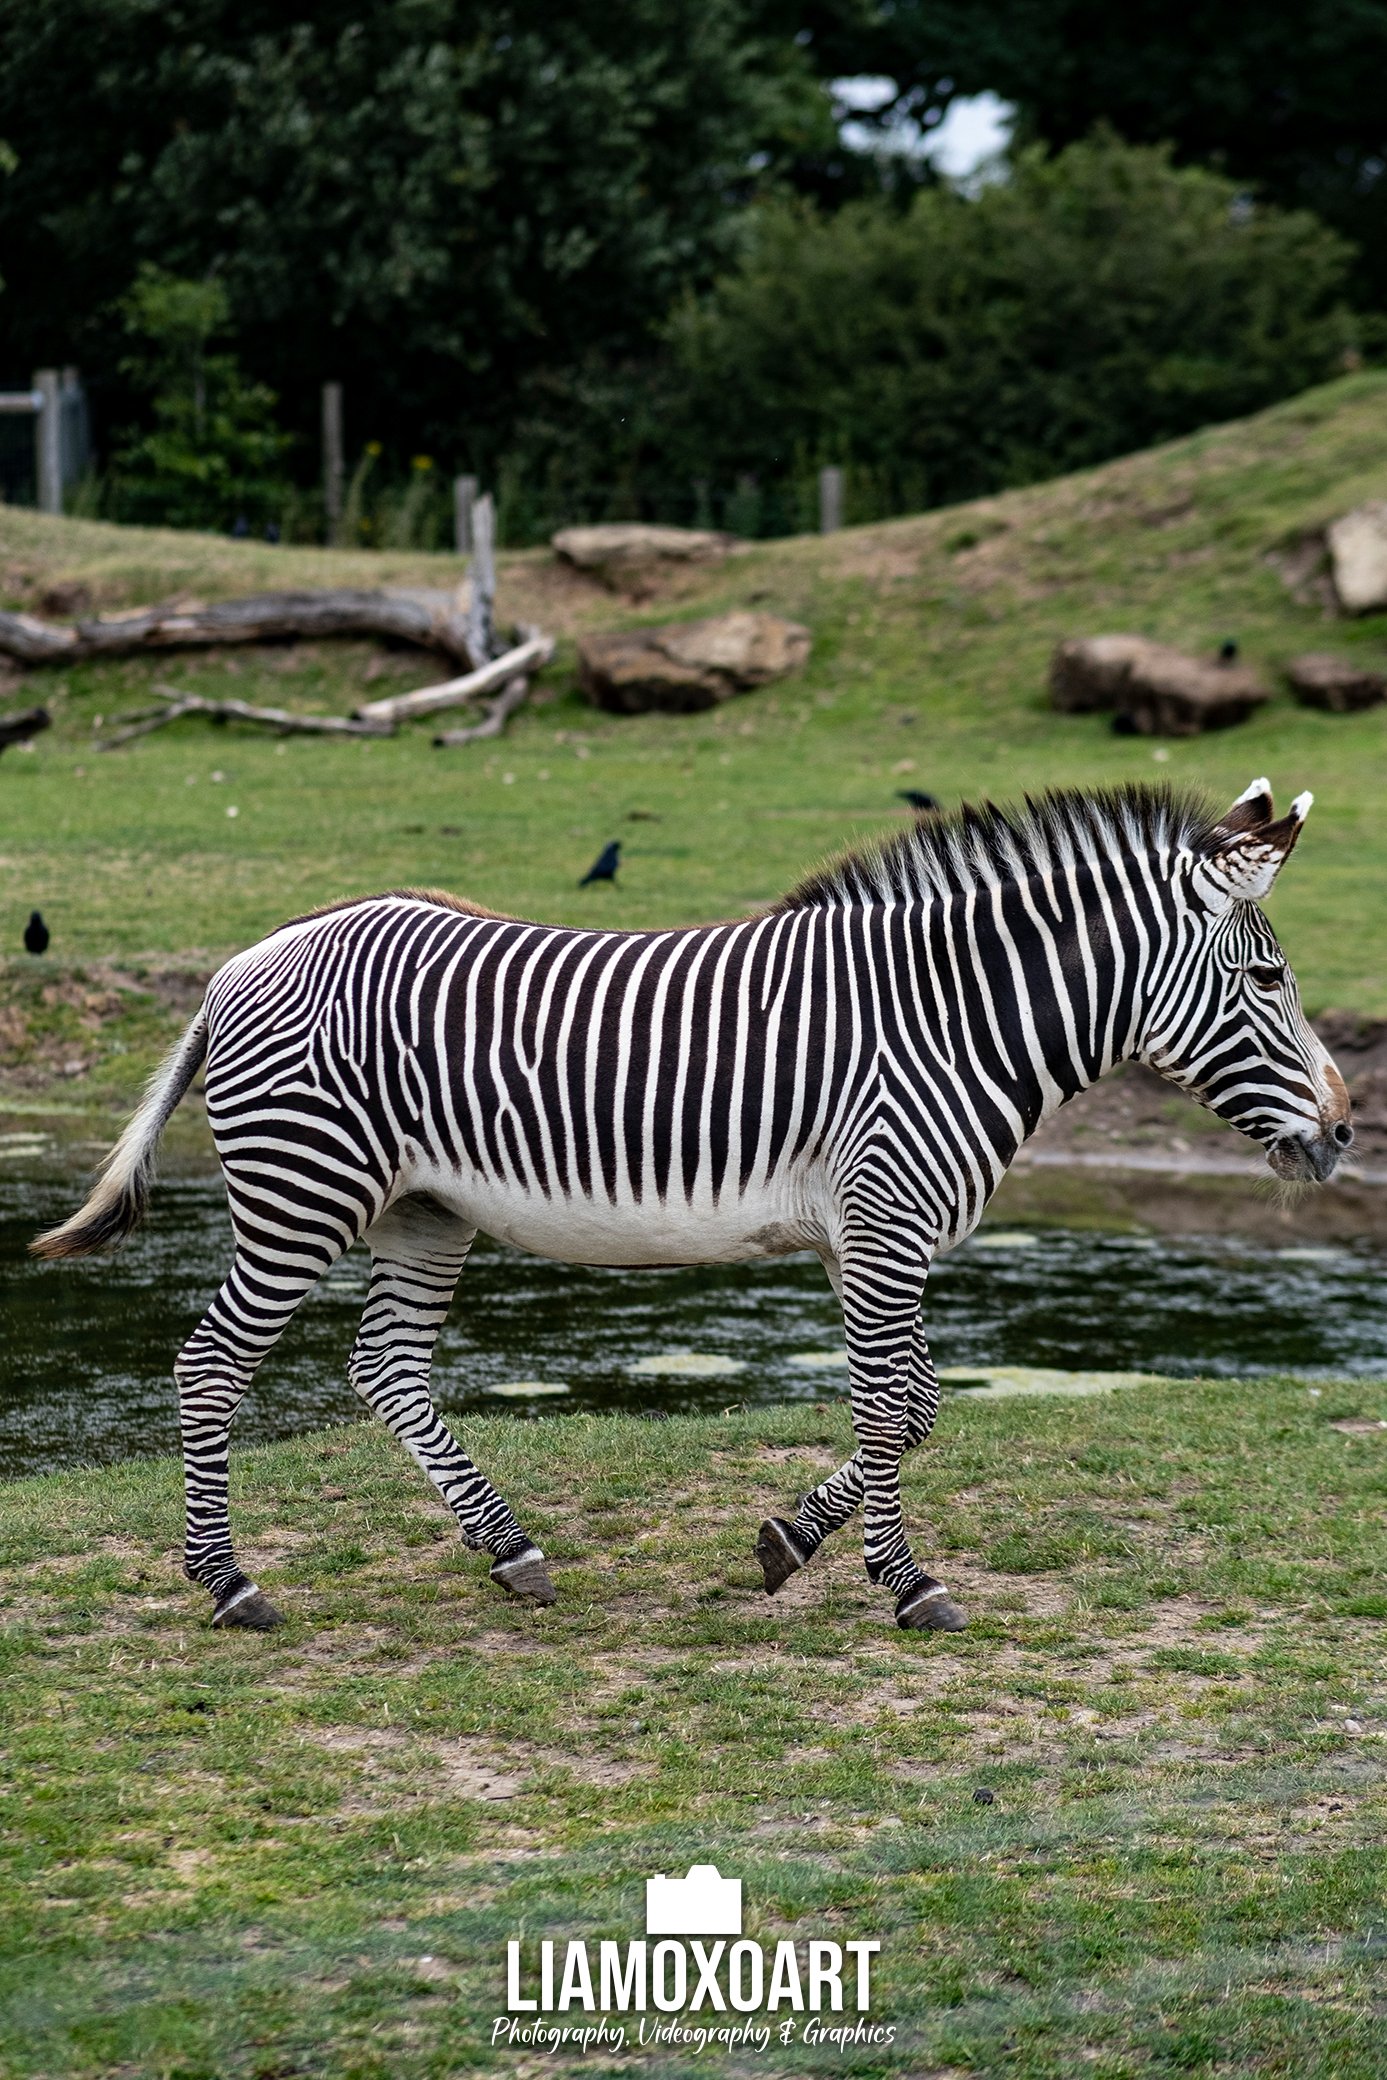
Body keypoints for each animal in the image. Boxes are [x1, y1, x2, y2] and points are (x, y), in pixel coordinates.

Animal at [33, 778, 1351, 1635]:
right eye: (1266, 976)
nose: (1346, 1133)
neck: (957, 1021)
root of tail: (247, 956)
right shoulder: (884, 1219)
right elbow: (892, 1407)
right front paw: (907, 1584)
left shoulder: (867, 1235)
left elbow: (915, 1405)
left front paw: (792, 1543)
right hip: (304, 1187)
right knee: (210, 1363)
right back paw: (230, 1586)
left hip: (420, 1207)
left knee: (386, 1370)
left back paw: (509, 1551)